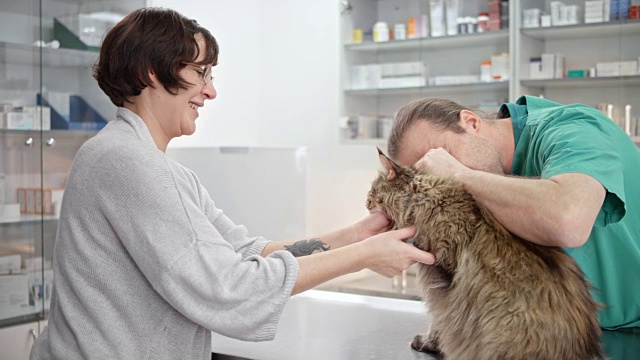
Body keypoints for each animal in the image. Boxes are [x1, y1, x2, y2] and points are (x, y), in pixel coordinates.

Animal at [368, 150, 604, 360]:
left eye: (372, 192)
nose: (366, 203)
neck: (424, 197)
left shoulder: (444, 275)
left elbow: (439, 320)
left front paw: (428, 343)